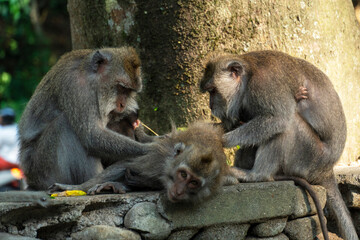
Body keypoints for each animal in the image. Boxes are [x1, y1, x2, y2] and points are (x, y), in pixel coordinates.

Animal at [19, 47, 158, 192]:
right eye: (121, 88)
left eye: (129, 91)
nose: (122, 104)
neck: (90, 76)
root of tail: (31, 180)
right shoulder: (77, 87)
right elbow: (92, 135)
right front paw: (151, 149)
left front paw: (151, 138)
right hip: (43, 169)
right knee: (64, 125)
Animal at [200, 50, 358, 240]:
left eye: (213, 91)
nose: (210, 106)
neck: (248, 75)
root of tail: (326, 170)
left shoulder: (264, 85)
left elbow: (278, 119)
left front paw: (220, 140)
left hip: (309, 158)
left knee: (288, 123)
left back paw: (255, 175)